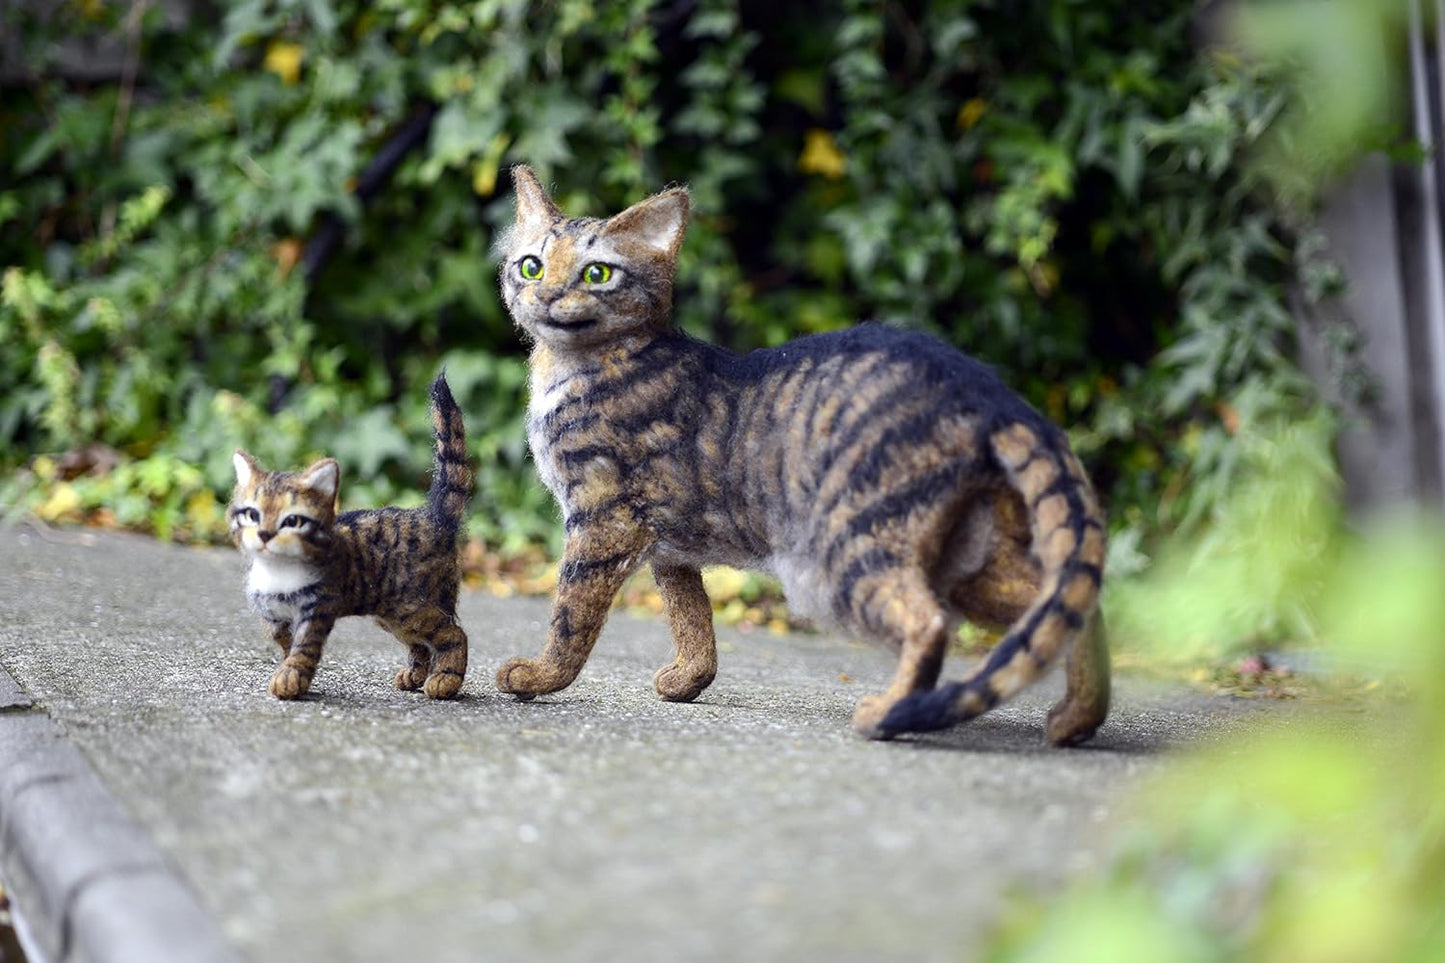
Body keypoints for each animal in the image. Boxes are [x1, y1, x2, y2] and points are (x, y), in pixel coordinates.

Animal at [228, 373, 471, 696]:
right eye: (251, 514)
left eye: (292, 521)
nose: (265, 534)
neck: (278, 571)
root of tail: (435, 516)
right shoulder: (274, 616)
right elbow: (283, 640)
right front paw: (289, 668)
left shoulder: (318, 609)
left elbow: (303, 648)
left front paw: (290, 678)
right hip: (392, 616)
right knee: (421, 642)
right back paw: (415, 675)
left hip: (412, 607)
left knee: (453, 633)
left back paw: (445, 679)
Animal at [494, 167, 1103, 740]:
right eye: (531, 266)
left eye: (597, 273)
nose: (545, 294)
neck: (565, 370)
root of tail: (984, 389)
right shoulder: (670, 546)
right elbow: (694, 617)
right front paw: (688, 681)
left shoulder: (603, 520)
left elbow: (571, 612)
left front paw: (539, 678)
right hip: (970, 557)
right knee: (1070, 604)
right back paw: (1077, 720)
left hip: (850, 546)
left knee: (930, 621)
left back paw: (888, 715)